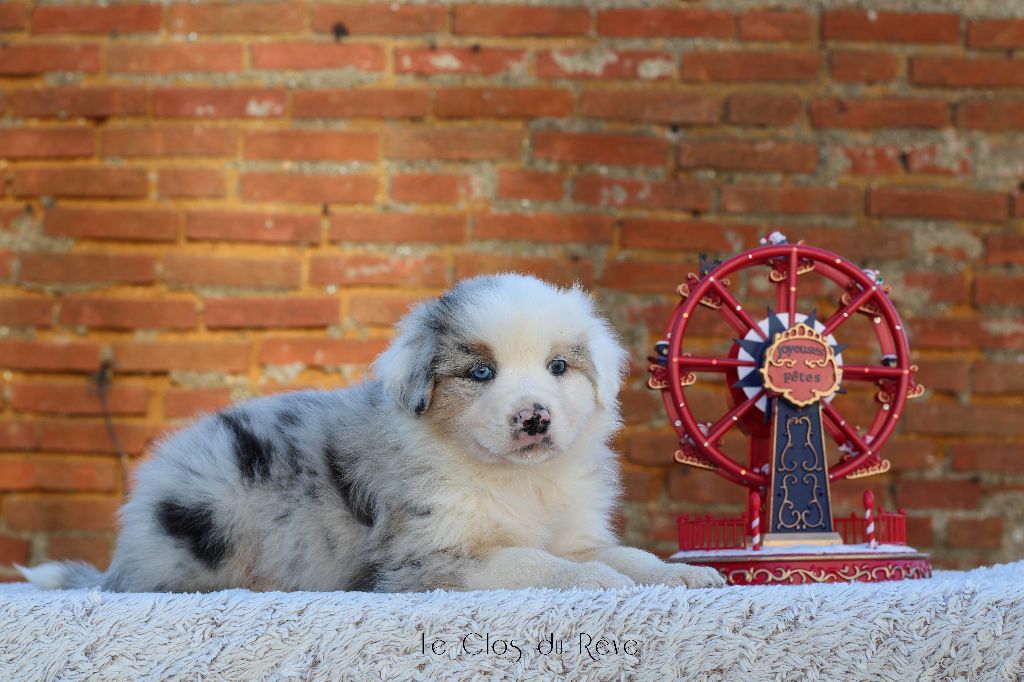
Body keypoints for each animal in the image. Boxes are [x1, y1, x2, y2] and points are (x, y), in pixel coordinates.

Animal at [19, 274, 725, 593]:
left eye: (558, 367)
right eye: (480, 372)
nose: (534, 418)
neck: (514, 480)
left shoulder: (573, 530)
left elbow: (619, 554)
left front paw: (680, 578)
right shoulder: (421, 556)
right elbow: (532, 561)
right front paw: (599, 585)